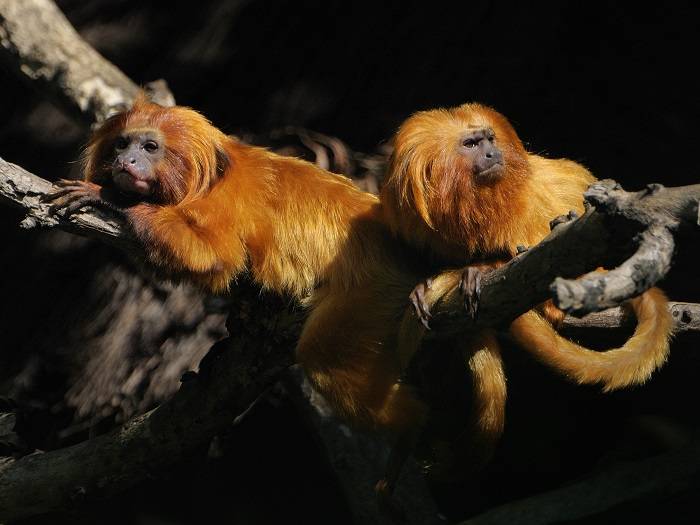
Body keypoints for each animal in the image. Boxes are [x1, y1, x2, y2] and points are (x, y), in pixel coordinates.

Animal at [380, 102, 673, 480]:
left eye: (489, 139)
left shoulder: (532, 207)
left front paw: (479, 271)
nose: (492, 153)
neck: (465, 202)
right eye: (472, 144)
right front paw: (426, 285)